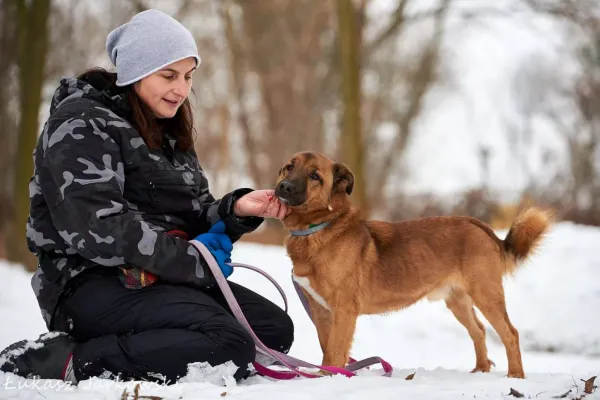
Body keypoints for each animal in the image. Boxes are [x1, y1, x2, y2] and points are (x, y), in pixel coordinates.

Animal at [274, 150, 552, 378]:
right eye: (289, 167)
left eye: (315, 176)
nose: (284, 187)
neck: (317, 228)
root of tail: (479, 225)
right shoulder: (321, 311)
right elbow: (326, 349)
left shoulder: (343, 311)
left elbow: (333, 353)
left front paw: (330, 378)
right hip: (458, 301)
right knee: (480, 331)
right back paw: (481, 370)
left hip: (486, 295)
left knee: (510, 334)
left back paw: (515, 375)